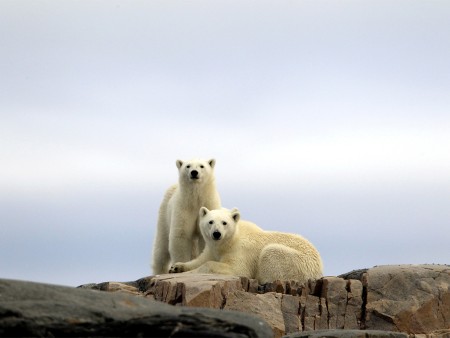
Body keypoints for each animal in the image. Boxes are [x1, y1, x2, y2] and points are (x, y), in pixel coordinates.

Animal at [170, 207, 324, 284]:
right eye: (210, 222)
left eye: (224, 223)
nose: (216, 234)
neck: (229, 240)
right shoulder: (212, 248)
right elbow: (201, 259)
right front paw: (176, 267)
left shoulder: (240, 250)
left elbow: (236, 269)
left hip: (298, 263)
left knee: (270, 252)